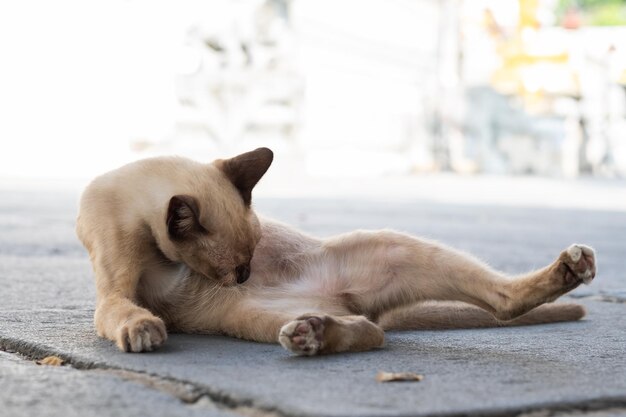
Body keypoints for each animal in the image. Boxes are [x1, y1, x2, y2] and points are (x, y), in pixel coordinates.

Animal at [77, 147, 596, 354]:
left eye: (250, 259)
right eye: (236, 267)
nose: (243, 279)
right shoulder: (115, 292)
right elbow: (125, 310)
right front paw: (145, 330)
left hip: (394, 246)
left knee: (499, 303)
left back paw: (573, 268)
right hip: (253, 320)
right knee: (371, 331)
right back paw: (315, 335)